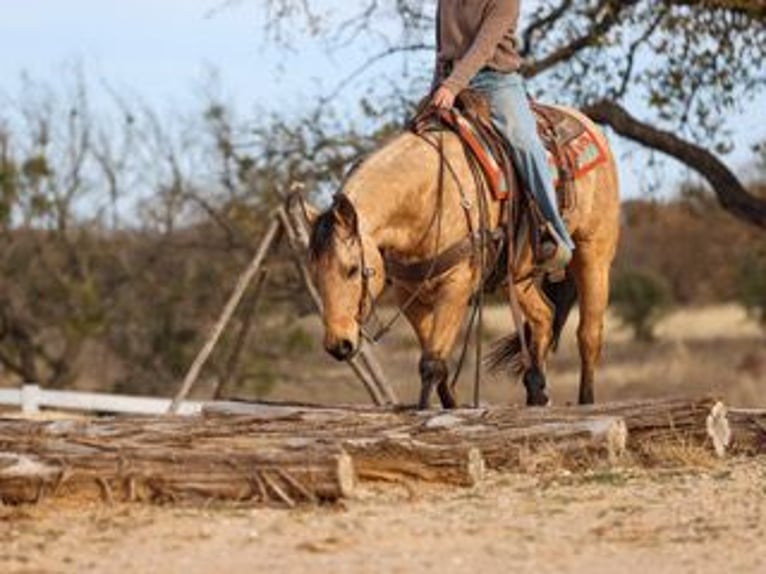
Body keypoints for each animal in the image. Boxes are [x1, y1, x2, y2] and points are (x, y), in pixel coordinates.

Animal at [307, 106, 620, 408]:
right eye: (316, 274)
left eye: (352, 269)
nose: (338, 345)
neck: (427, 196)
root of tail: (589, 126)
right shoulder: (409, 294)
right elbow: (438, 362)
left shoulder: (455, 285)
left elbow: (431, 363)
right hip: (517, 276)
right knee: (543, 317)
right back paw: (536, 393)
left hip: (594, 255)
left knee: (589, 334)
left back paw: (586, 401)